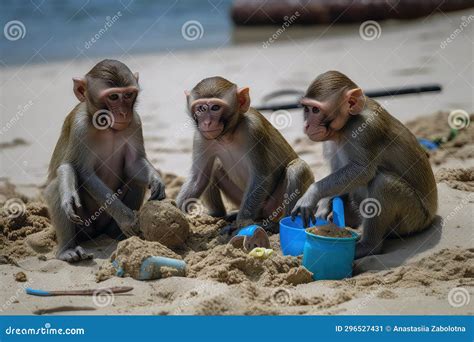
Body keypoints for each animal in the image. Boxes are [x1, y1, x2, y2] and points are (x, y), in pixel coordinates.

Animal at [44, 59, 166, 262]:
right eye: (114, 97)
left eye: (128, 95)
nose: (123, 113)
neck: (107, 127)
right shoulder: (80, 128)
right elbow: (83, 172)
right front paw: (127, 218)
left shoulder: (135, 122)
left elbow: (133, 164)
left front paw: (156, 180)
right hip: (83, 227)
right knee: (57, 186)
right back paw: (67, 249)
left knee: (135, 181)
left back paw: (119, 237)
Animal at [176, 77, 312, 232]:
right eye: (201, 108)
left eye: (215, 107)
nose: (207, 123)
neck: (228, 134)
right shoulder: (201, 137)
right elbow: (199, 177)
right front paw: (176, 211)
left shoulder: (253, 129)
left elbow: (261, 178)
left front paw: (240, 224)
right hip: (241, 198)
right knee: (213, 168)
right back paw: (217, 215)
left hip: (272, 205)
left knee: (297, 169)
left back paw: (279, 225)